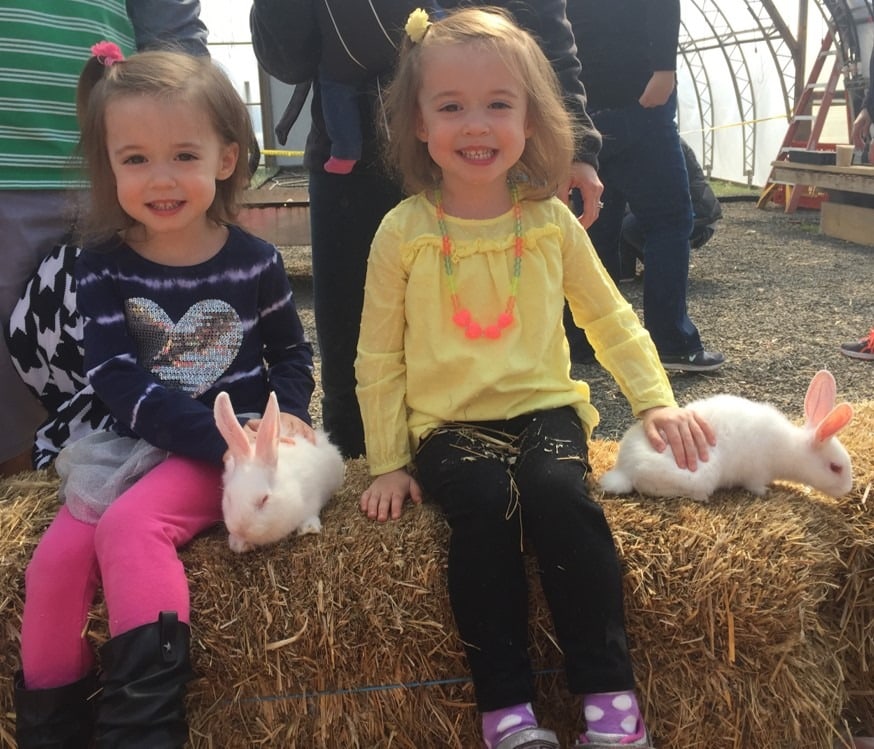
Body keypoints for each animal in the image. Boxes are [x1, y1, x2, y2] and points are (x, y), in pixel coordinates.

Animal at [213, 388, 346, 552]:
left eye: (264, 499)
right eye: (229, 497)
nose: (241, 529)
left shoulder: (312, 497)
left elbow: (311, 512)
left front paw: (308, 528)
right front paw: (238, 544)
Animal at [600, 370, 852, 502]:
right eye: (835, 468)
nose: (848, 489)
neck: (790, 450)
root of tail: (623, 469)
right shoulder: (756, 473)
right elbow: (755, 486)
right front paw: (766, 492)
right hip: (697, 476)